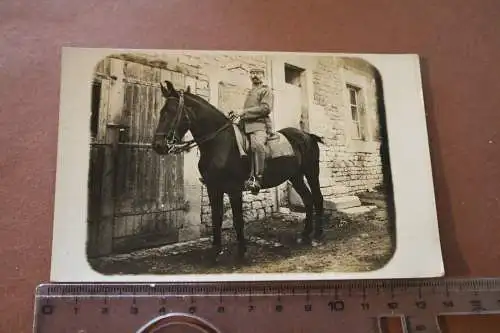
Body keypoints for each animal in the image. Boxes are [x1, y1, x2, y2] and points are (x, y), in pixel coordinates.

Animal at [150, 81, 326, 262]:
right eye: (162, 111)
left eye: (170, 112)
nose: (158, 145)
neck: (219, 143)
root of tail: (308, 135)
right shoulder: (213, 188)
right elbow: (217, 218)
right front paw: (215, 252)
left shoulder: (234, 190)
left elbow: (237, 220)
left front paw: (242, 252)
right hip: (295, 176)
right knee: (308, 199)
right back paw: (305, 235)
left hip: (312, 172)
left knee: (318, 198)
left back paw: (318, 234)